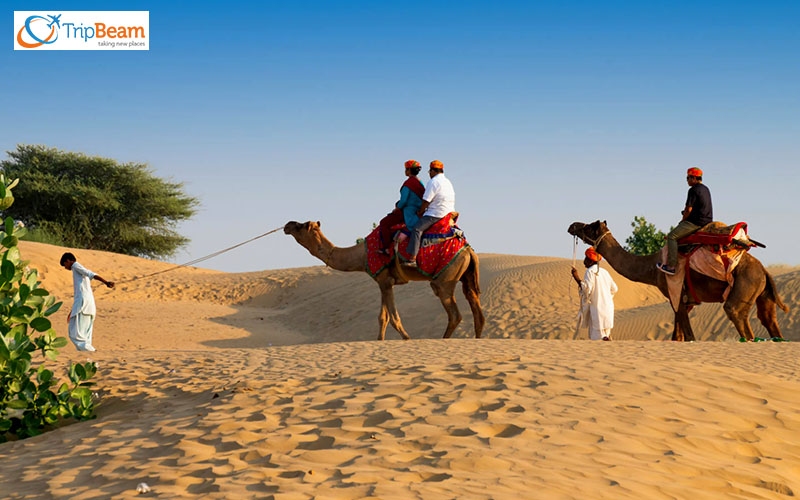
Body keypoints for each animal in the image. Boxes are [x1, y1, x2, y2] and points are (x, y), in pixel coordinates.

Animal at [282, 217, 482, 342]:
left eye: (300, 226)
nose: (287, 224)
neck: (361, 255)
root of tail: (469, 251)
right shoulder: (383, 281)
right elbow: (382, 317)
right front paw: (380, 340)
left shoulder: (385, 281)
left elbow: (393, 317)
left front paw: (407, 338)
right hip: (466, 276)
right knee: (475, 307)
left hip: (445, 279)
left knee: (454, 313)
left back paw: (443, 340)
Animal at [568, 221, 788, 342]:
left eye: (590, 226)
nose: (573, 225)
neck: (652, 266)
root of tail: (764, 270)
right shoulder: (684, 299)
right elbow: (678, 336)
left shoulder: (674, 290)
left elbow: (689, 336)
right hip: (761, 293)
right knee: (768, 320)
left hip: (745, 284)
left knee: (736, 314)